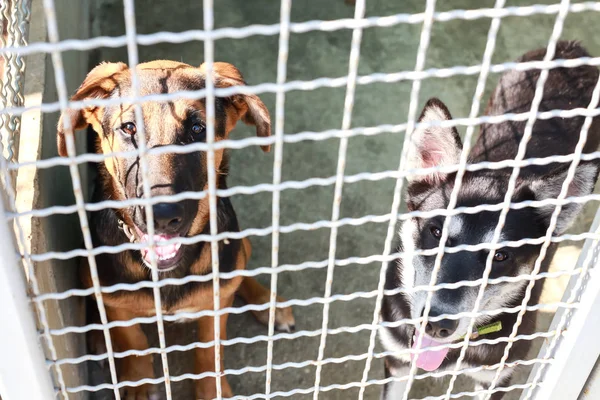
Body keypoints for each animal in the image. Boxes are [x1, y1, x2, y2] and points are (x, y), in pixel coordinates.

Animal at [57, 61, 296, 398]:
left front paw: (212, 390)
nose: (163, 216)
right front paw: (138, 385)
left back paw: (268, 303)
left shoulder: (215, 307)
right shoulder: (117, 305)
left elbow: (209, 351)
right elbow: (133, 343)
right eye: (128, 128)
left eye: (198, 129)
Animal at [380, 41, 600, 400]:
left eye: (501, 256)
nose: (437, 325)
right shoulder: (397, 361)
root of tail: (573, 50)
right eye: (435, 232)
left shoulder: (496, 378)